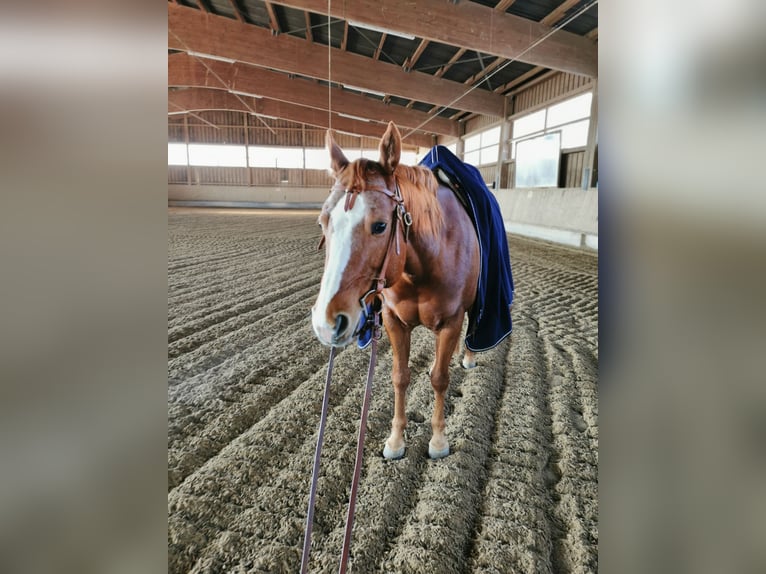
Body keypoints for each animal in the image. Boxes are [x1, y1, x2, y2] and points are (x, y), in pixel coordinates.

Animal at [311, 121, 481, 460]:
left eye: (380, 226)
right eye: (323, 221)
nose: (326, 323)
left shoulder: (451, 321)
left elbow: (440, 379)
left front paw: (438, 441)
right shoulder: (393, 321)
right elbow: (400, 378)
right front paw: (395, 440)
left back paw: (467, 355)